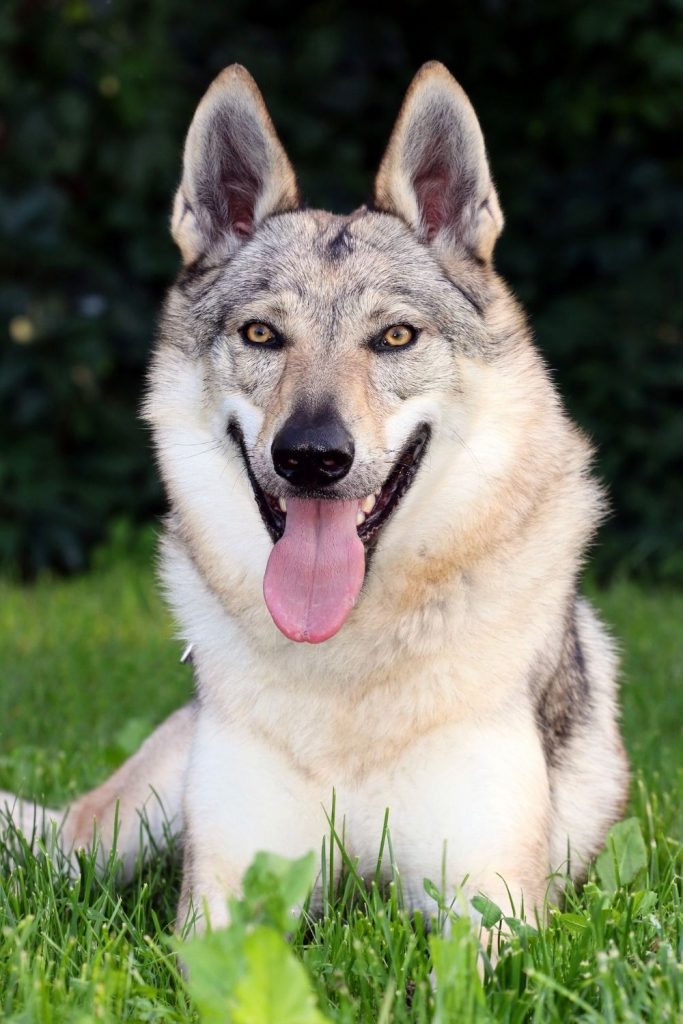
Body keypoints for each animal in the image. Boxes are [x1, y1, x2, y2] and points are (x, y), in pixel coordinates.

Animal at [0, 59, 630, 933]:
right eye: (262, 335)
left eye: (394, 337)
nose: (309, 458)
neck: (345, 671)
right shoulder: (221, 902)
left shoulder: (490, 908)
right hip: (116, 833)